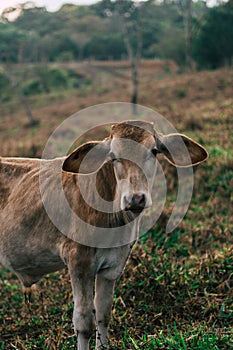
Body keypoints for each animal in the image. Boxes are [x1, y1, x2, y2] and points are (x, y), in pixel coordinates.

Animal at [0, 119, 208, 348]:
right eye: (113, 156)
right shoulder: (79, 262)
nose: (135, 199)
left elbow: (103, 315)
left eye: (154, 151)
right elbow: (84, 322)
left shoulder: (112, 266)